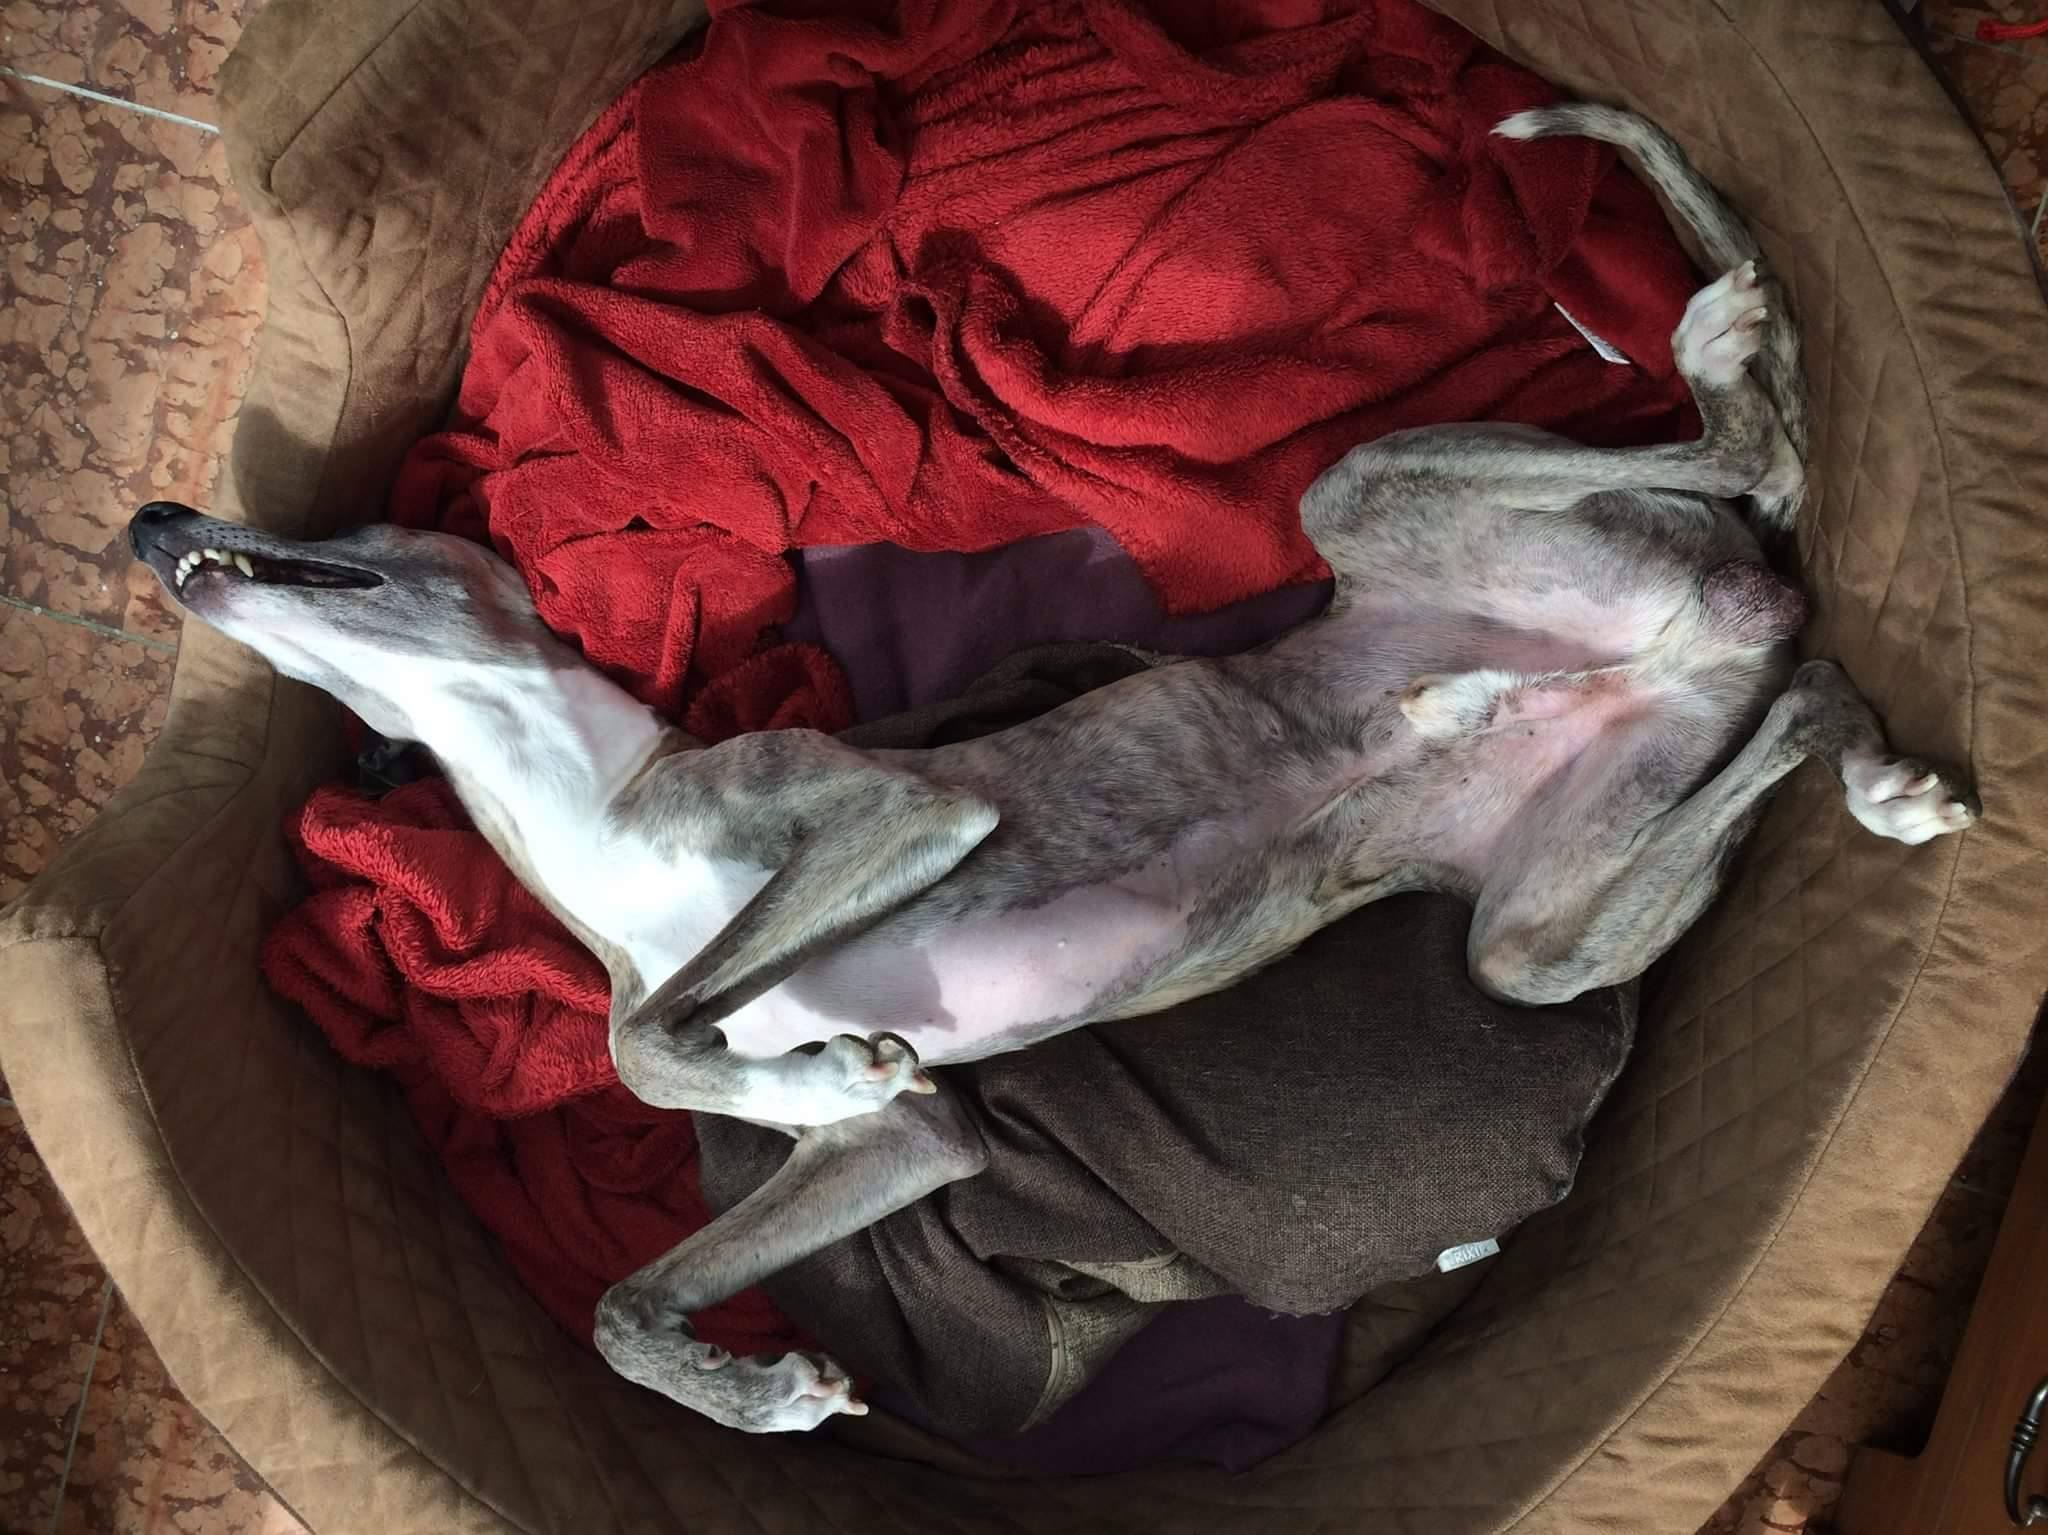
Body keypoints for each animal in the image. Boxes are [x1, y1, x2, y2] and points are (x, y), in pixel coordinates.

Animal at [130, 105, 1975, 1434]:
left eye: (367, 529)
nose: (149, 517)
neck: (598, 818)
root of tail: (1688, 624)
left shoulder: (899, 807)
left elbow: (648, 1046)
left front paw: (783, 1076)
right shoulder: (914, 1146)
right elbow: (631, 1286)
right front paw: (764, 1373)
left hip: (1369, 508)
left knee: (1750, 461)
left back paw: (1717, 348)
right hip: (1539, 923)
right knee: (1794, 677)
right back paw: (1839, 769)